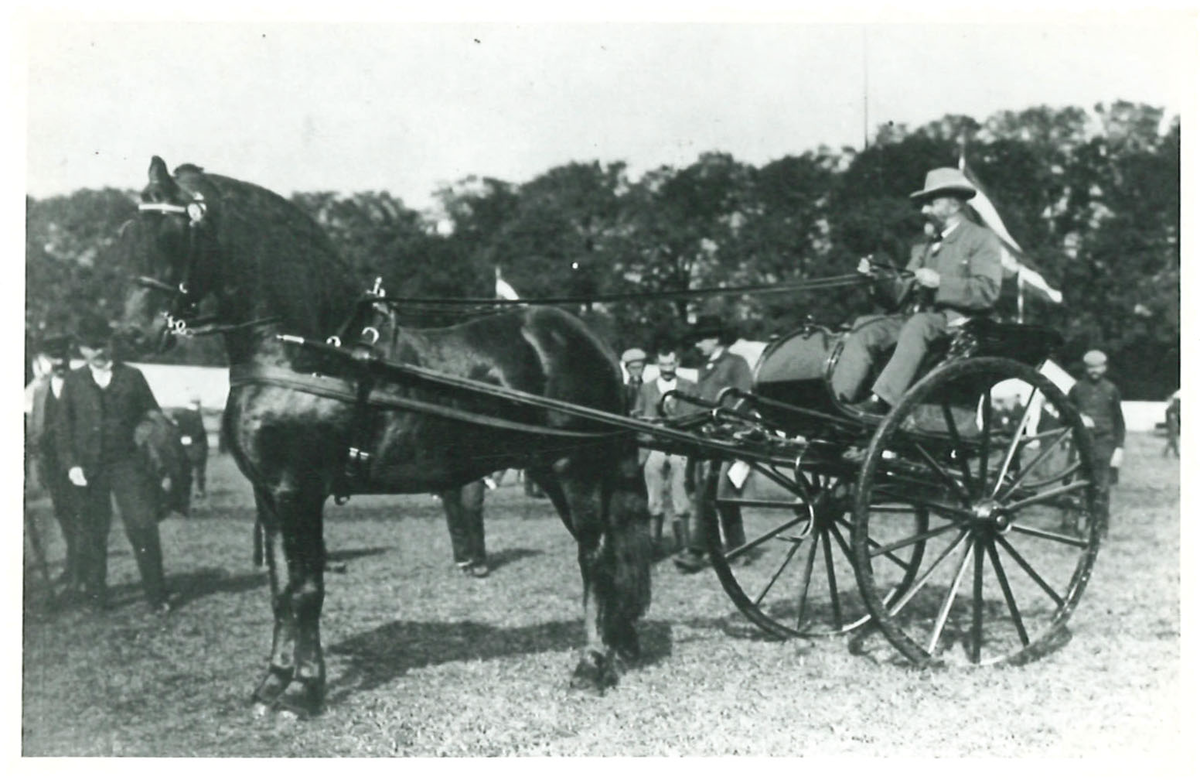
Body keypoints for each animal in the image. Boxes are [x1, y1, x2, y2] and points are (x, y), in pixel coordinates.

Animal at [117, 154, 652, 715]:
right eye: (129, 232)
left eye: (173, 233)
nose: (131, 333)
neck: (306, 351)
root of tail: (587, 339)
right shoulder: (270, 496)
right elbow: (280, 589)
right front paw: (272, 683)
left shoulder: (298, 491)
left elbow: (307, 590)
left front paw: (304, 690)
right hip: (556, 473)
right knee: (607, 552)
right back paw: (619, 647)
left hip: (574, 470)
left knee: (593, 554)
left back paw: (592, 664)